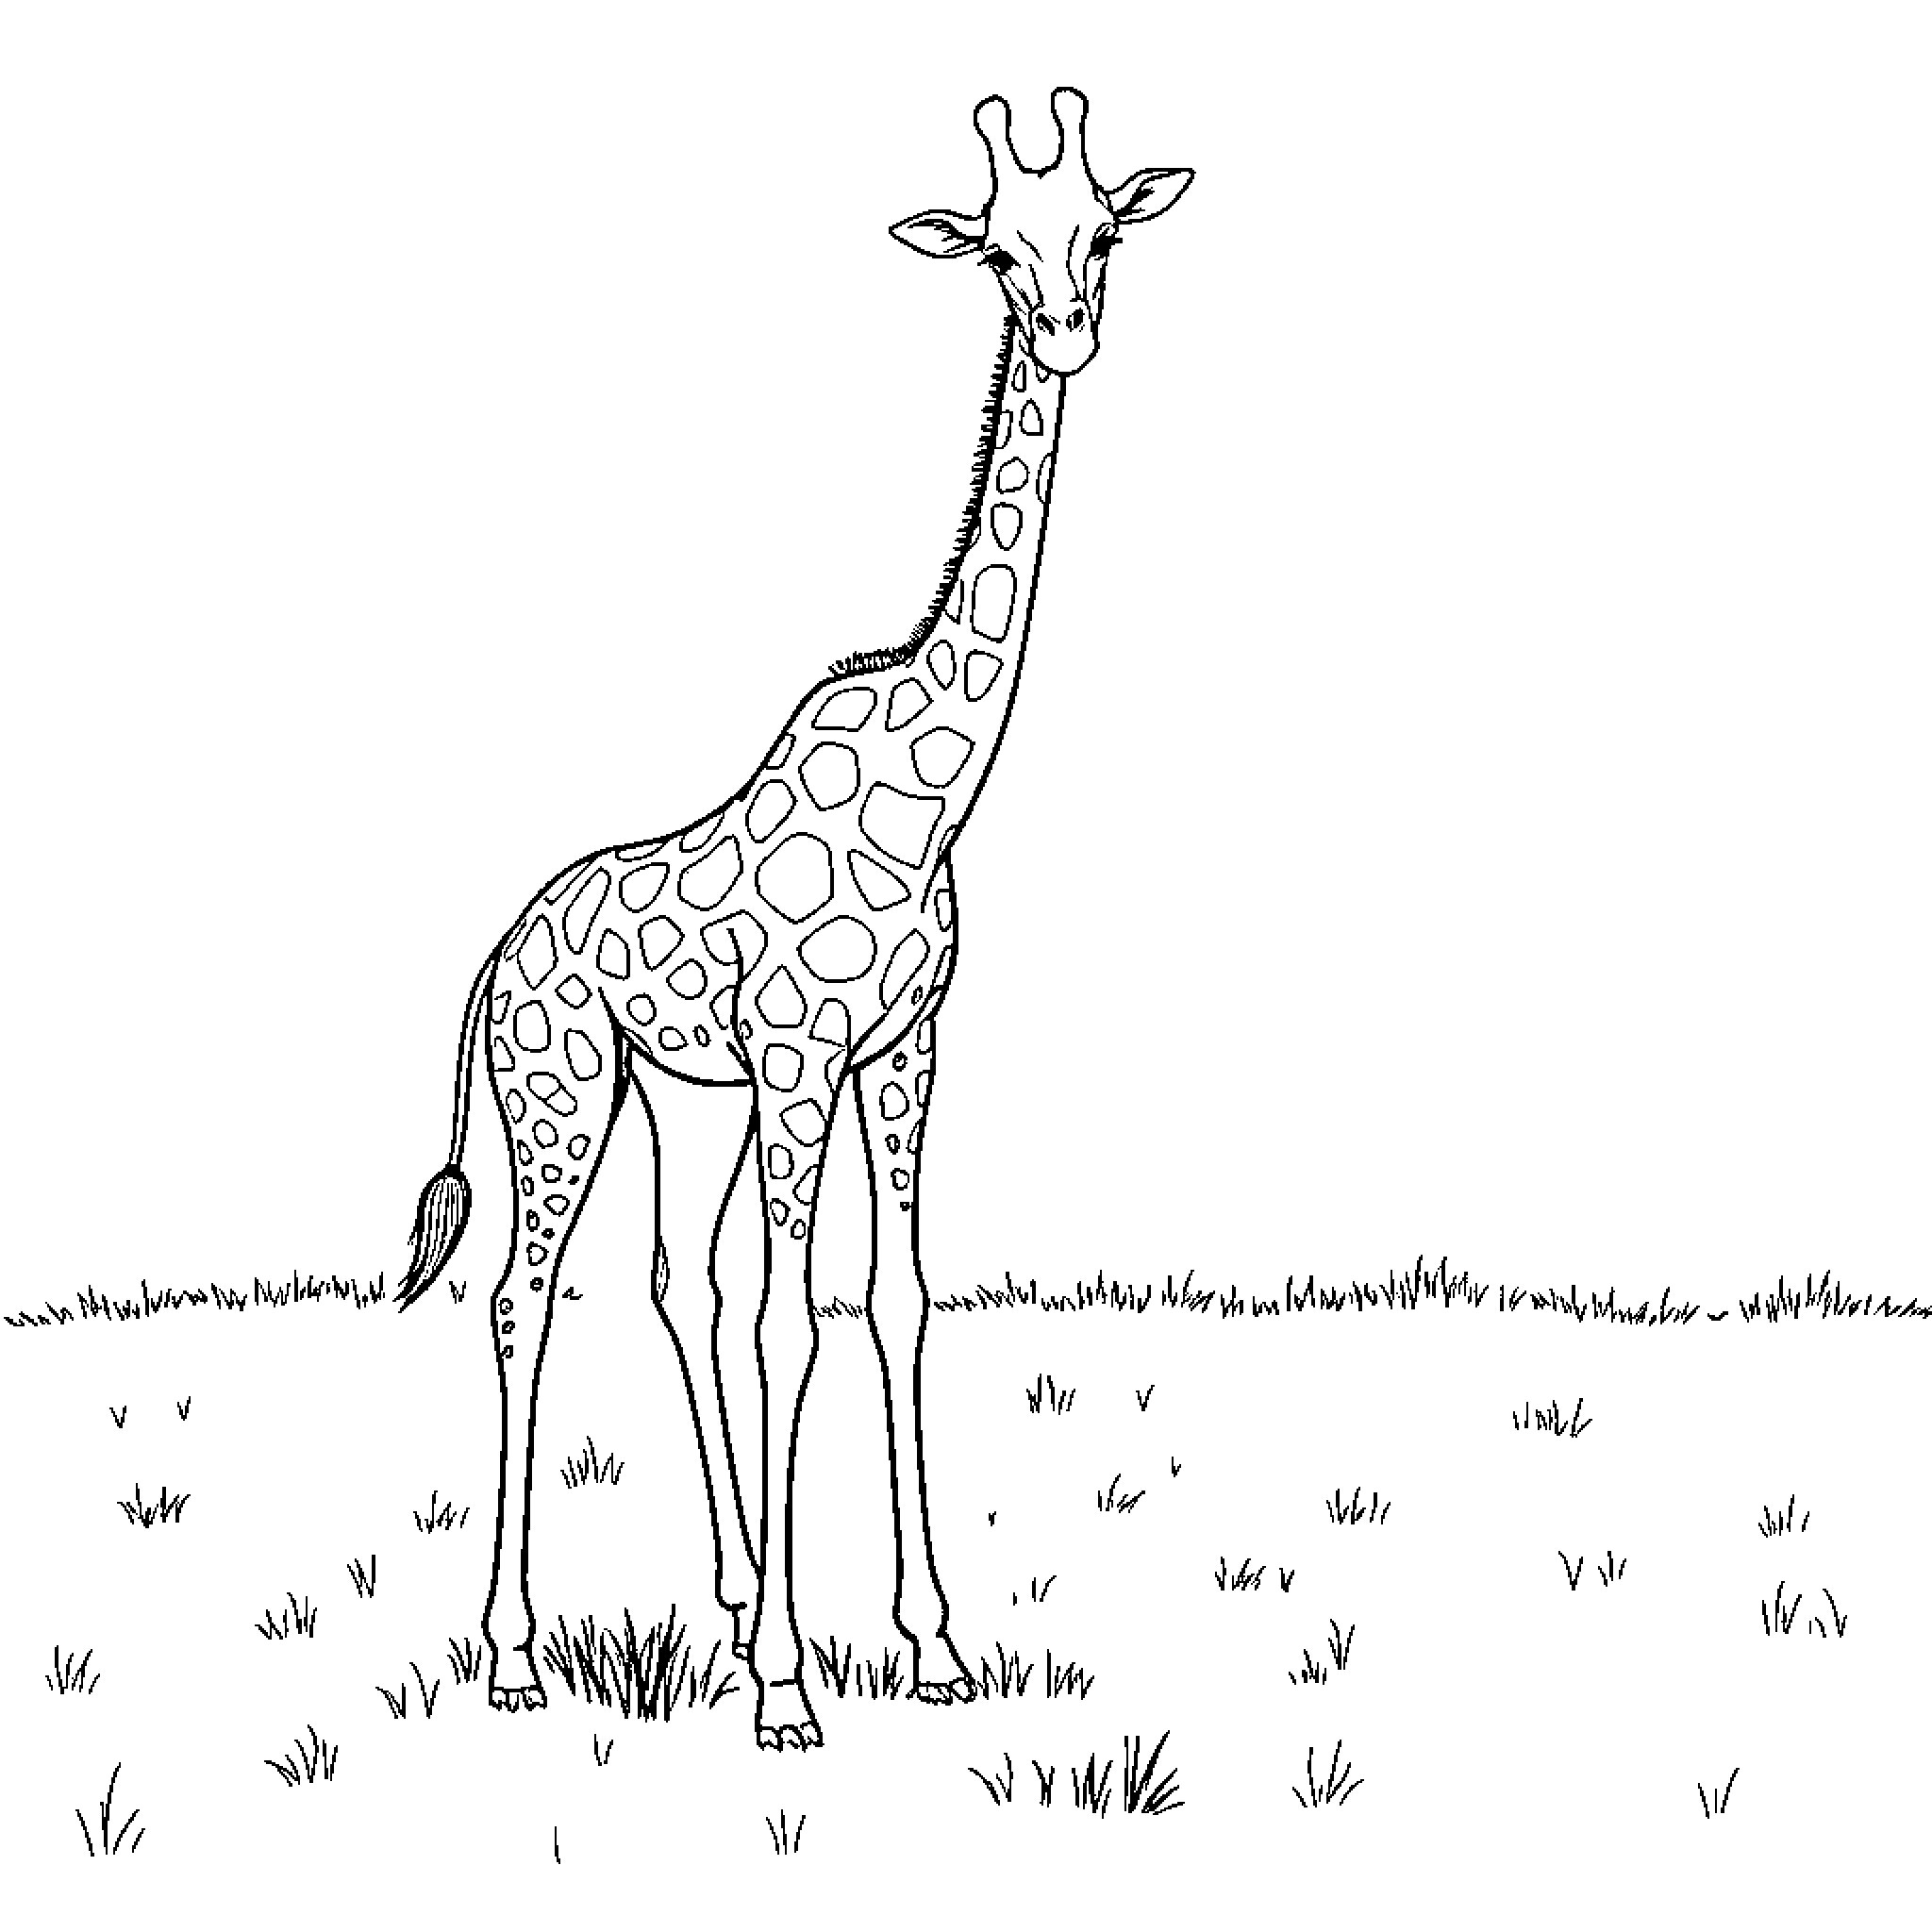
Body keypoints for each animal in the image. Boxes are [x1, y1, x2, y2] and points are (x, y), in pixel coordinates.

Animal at [395, 87, 1193, 1751]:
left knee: (668, 1283)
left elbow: (894, 1303)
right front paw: (784, 1687)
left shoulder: (897, 1057)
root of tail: (494, 963)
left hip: (681, 1101)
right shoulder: (805, 1057)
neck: (934, 789)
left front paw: (927, 1646)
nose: (1070, 326)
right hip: (561, 1094)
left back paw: (720, 1592)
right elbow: (793, 1320)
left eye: (1100, 232)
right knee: (522, 1299)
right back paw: (516, 1652)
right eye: (997, 249)